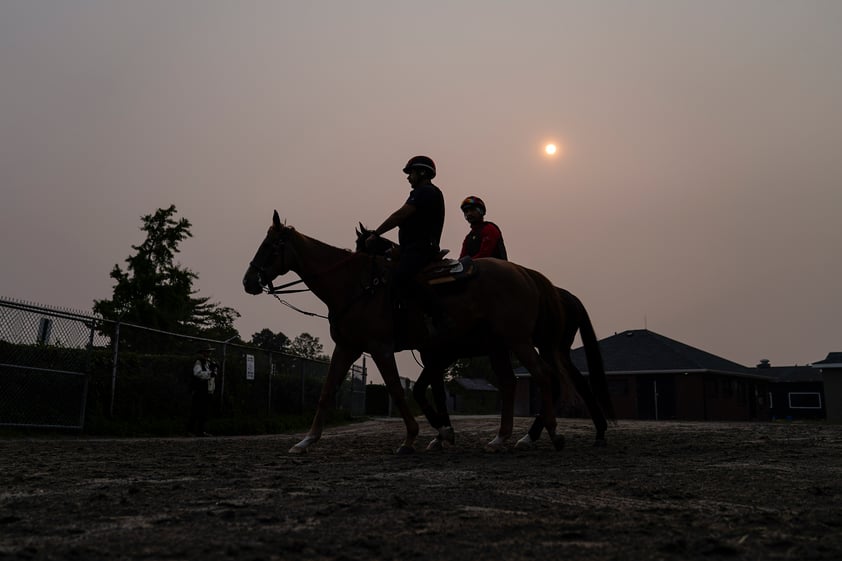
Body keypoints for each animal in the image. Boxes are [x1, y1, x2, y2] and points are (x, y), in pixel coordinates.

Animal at [246, 212, 576, 452]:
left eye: (270, 247)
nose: (248, 281)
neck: (357, 285)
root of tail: (524, 274)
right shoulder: (349, 347)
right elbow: (327, 391)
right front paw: (306, 441)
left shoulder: (382, 347)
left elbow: (397, 388)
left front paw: (413, 437)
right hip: (500, 346)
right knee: (510, 383)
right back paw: (501, 438)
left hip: (518, 341)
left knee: (543, 375)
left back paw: (548, 433)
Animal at [352, 225, 612, 448]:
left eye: (362, 249)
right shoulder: (437, 357)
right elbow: (434, 391)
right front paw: (441, 435)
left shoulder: (437, 355)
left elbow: (429, 391)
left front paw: (443, 433)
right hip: (545, 348)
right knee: (566, 381)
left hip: (539, 345)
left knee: (553, 379)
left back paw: (541, 435)